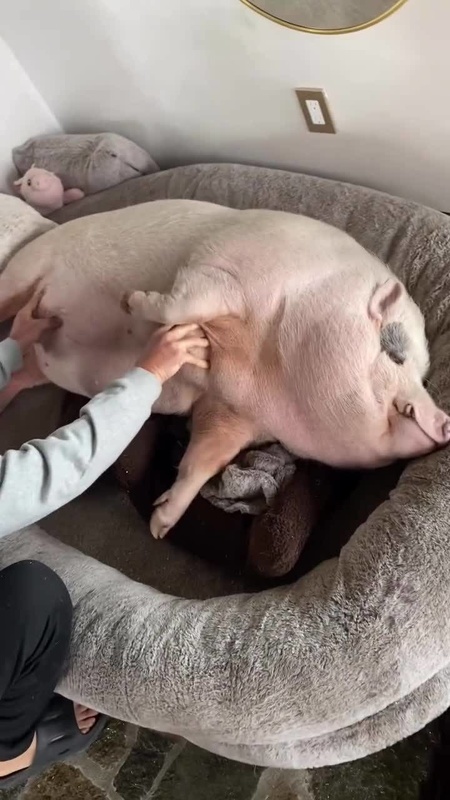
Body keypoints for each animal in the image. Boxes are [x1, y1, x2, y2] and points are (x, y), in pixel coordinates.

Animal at [0, 198, 448, 540]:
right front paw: (132, 302)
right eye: (395, 351)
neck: (264, 366)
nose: (444, 422)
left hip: (36, 366)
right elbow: (180, 305)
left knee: (19, 372)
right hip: (22, 274)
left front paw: (160, 526)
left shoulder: (232, 413)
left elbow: (205, 462)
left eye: (423, 374)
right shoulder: (218, 270)